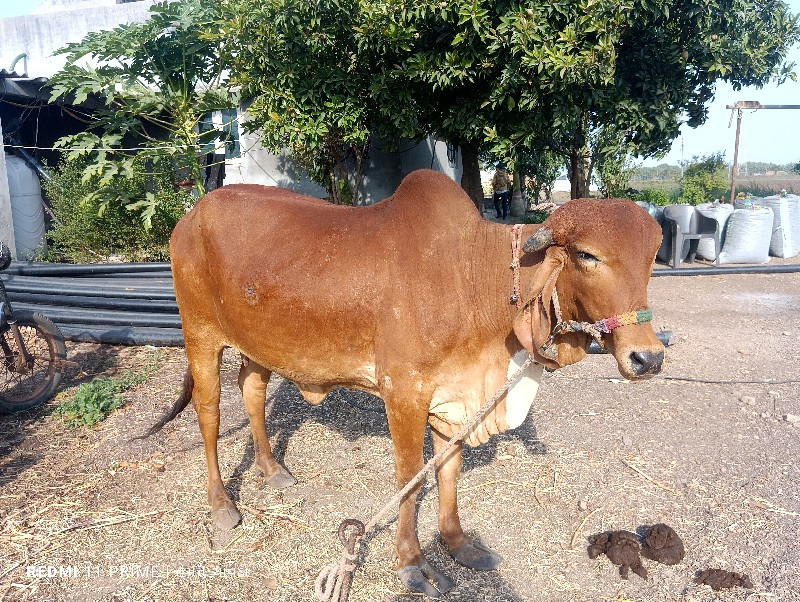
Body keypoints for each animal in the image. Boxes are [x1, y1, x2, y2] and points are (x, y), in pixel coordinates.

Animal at [161, 169, 664, 596]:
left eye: (652, 259)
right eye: (587, 255)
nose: (648, 357)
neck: (473, 279)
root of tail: (192, 214)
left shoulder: (453, 398)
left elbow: (448, 470)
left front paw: (458, 543)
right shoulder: (403, 392)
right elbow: (410, 479)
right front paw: (413, 563)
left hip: (258, 344)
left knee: (252, 391)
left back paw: (271, 468)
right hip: (200, 336)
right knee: (209, 414)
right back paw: (221, 504)